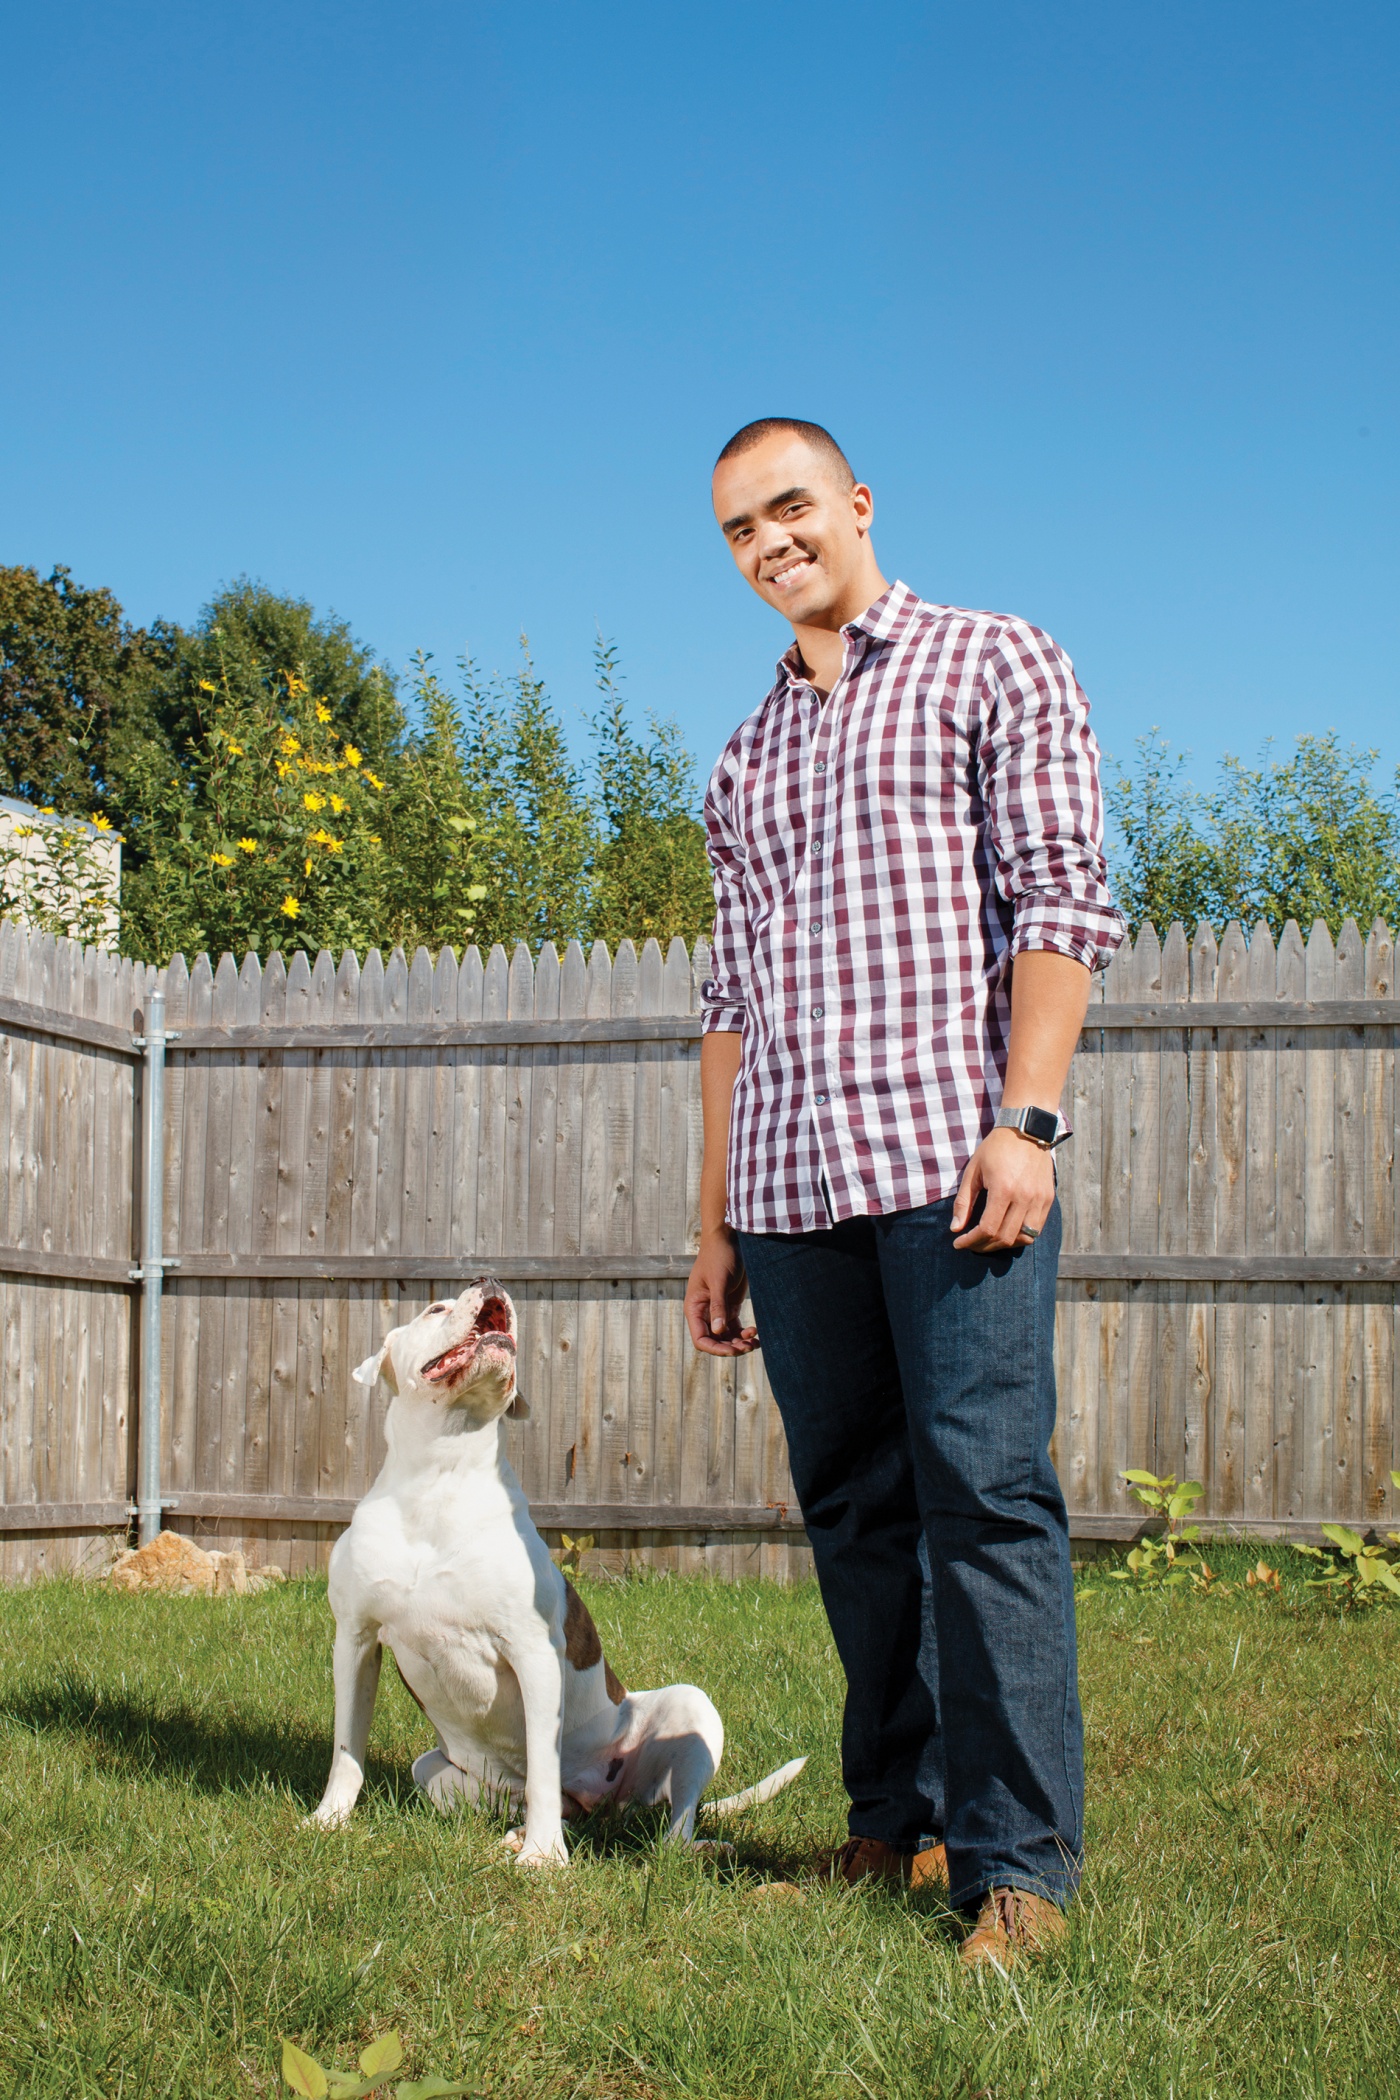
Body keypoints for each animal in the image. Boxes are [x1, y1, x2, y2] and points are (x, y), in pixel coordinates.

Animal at [312, 1268, 805, 1864]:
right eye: (434, 1309)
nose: (489, 1277)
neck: (441, 1470)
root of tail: (605, 1807)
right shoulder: (356, 1639)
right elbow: (346, 1746)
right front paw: (328, 1821)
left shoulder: (533, 1649)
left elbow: (544, 1766)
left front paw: (543, 1859)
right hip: (436, 1771)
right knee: (504, 1796)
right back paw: (516, 1832)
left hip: (690, 1712)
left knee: (672, 1825)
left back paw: (690, 1845)